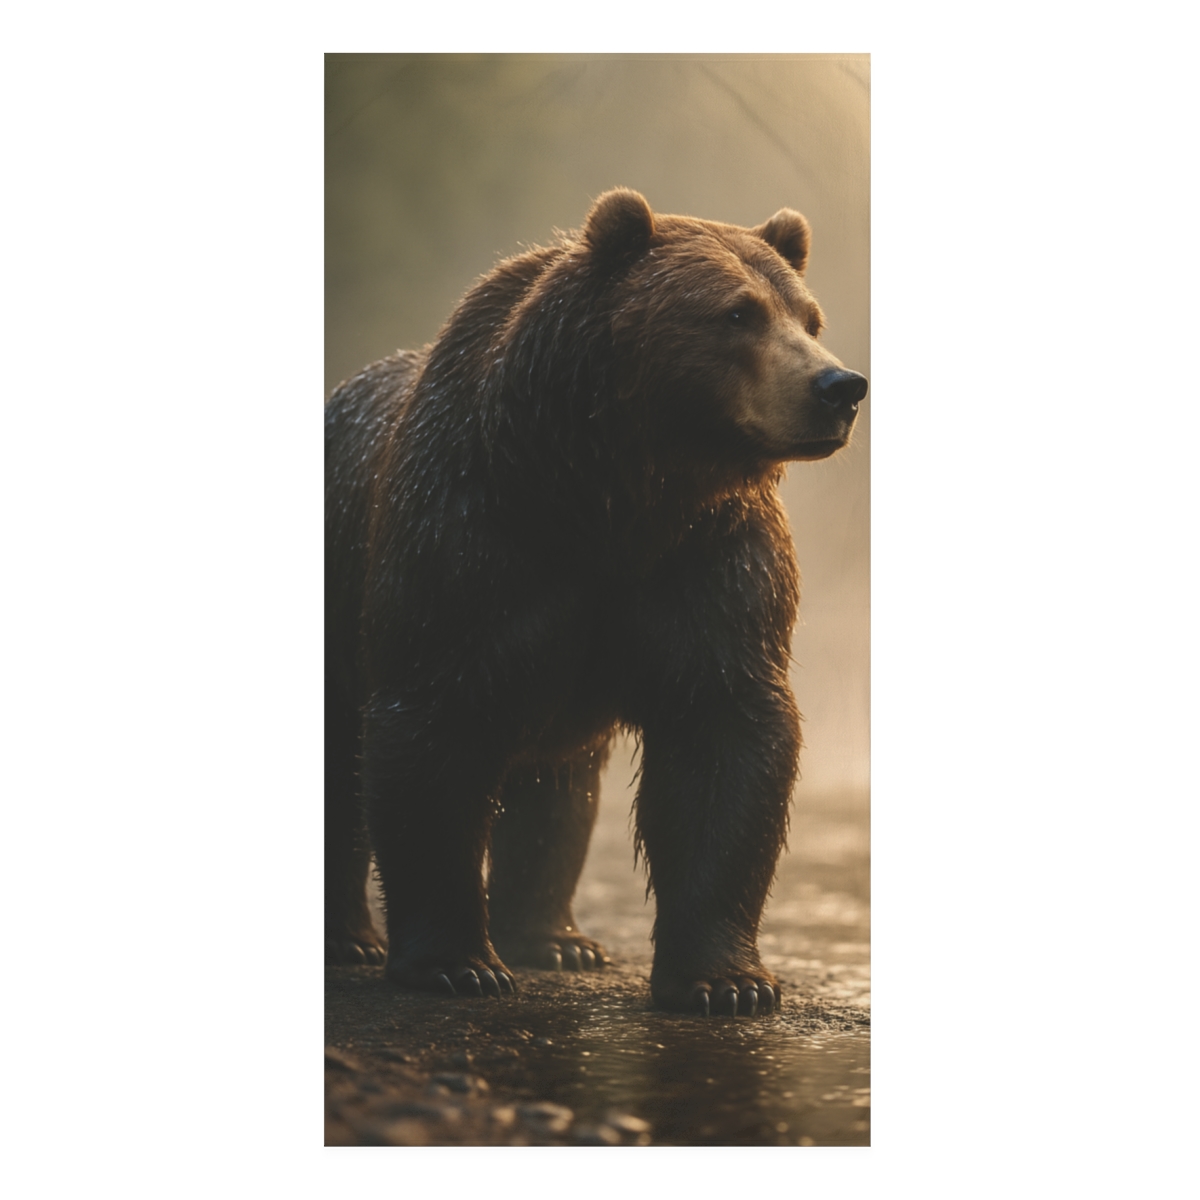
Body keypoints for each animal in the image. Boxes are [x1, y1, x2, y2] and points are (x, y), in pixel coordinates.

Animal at [325, 188, 867, 1017]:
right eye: (736, 312)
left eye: (809, 318)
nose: (839, 388)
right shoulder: (468, 540)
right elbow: (432, 737)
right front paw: (456, 963)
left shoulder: (709, 566)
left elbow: (723, 741)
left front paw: (726, 980)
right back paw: (351, 937)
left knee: (556, 786)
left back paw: (552, 938)